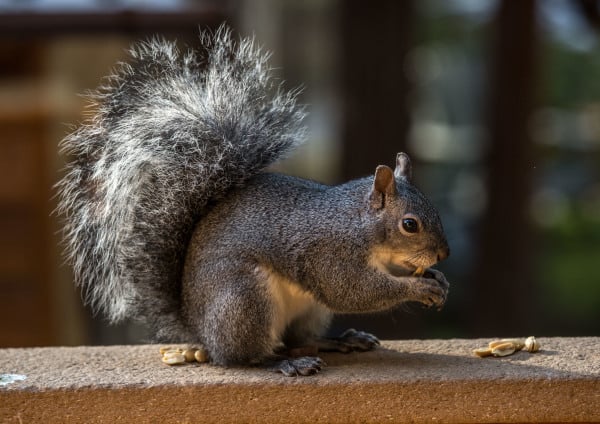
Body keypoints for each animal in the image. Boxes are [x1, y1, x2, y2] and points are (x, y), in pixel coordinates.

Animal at [57, 27, 450, 378]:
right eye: (410, 224)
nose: (443, 254)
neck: (359, 223)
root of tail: (201, 332)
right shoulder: (331, 254)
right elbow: (352, 291)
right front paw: (419, 287)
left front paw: (438, 278)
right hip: (245, 300)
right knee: (244, 357)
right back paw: (283, 363)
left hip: (309, 310)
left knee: (297, 339)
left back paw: (340, 341)